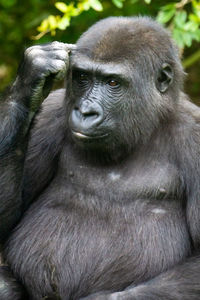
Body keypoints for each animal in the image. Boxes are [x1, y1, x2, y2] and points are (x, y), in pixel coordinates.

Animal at [0, 15, 200, 300]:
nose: (85, 111)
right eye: (83, 77)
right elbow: (6, 221)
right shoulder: (50, 114)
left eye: (113, 83)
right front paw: (30, 80)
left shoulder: (196, 136)